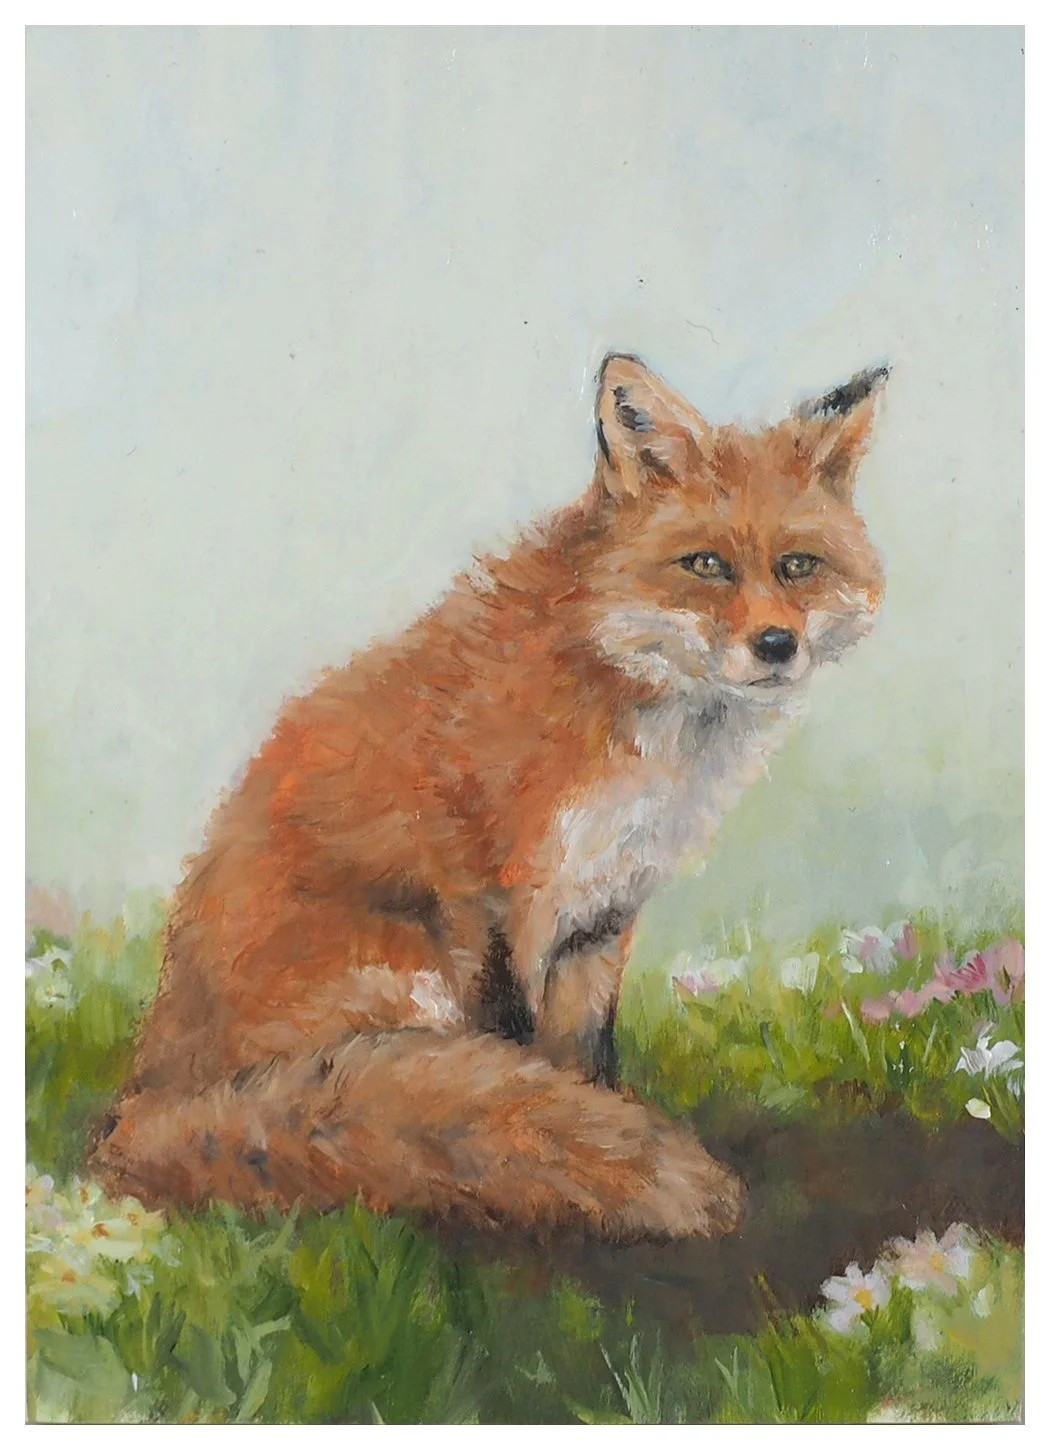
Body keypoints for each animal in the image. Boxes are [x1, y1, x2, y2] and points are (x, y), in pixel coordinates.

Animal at [88, 353, 888, 1242]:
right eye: (706, 565)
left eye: (798, 565)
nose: (777, 645)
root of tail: (141, 1107)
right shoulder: (497, 895)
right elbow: (516, 1055)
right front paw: (576, 1153)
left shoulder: (601, 912)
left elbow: (584, 1058)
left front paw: (600, 1128)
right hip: (406, 971)